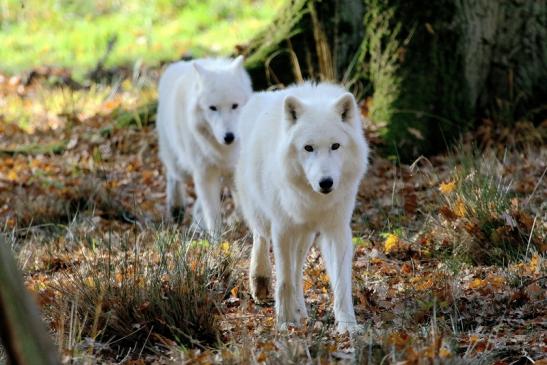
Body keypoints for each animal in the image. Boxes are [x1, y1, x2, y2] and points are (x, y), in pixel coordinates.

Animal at [157, 57, 254, 233]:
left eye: (234, 105)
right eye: (213, 108)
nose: (229, 137)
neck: (223, 151)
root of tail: (175, 65)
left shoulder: (233, 167)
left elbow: (241, 206)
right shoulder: (204, 172)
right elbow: (213, 214)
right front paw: (217, 238)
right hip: (182, 167)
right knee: (172, 175)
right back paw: (176, 208)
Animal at [237, 81, 370, 332]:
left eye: (335, 146)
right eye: (308, 148)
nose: (326, 182)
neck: (315, 199)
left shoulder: (337, 229)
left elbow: (342, 283)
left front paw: (347, 324)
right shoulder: (282, 229)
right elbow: (284, 279)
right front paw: (285, 321)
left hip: (306, 235)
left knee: (298, 269)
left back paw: (300, 309)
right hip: (262, 214)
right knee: (261, 238)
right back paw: (260, 282)